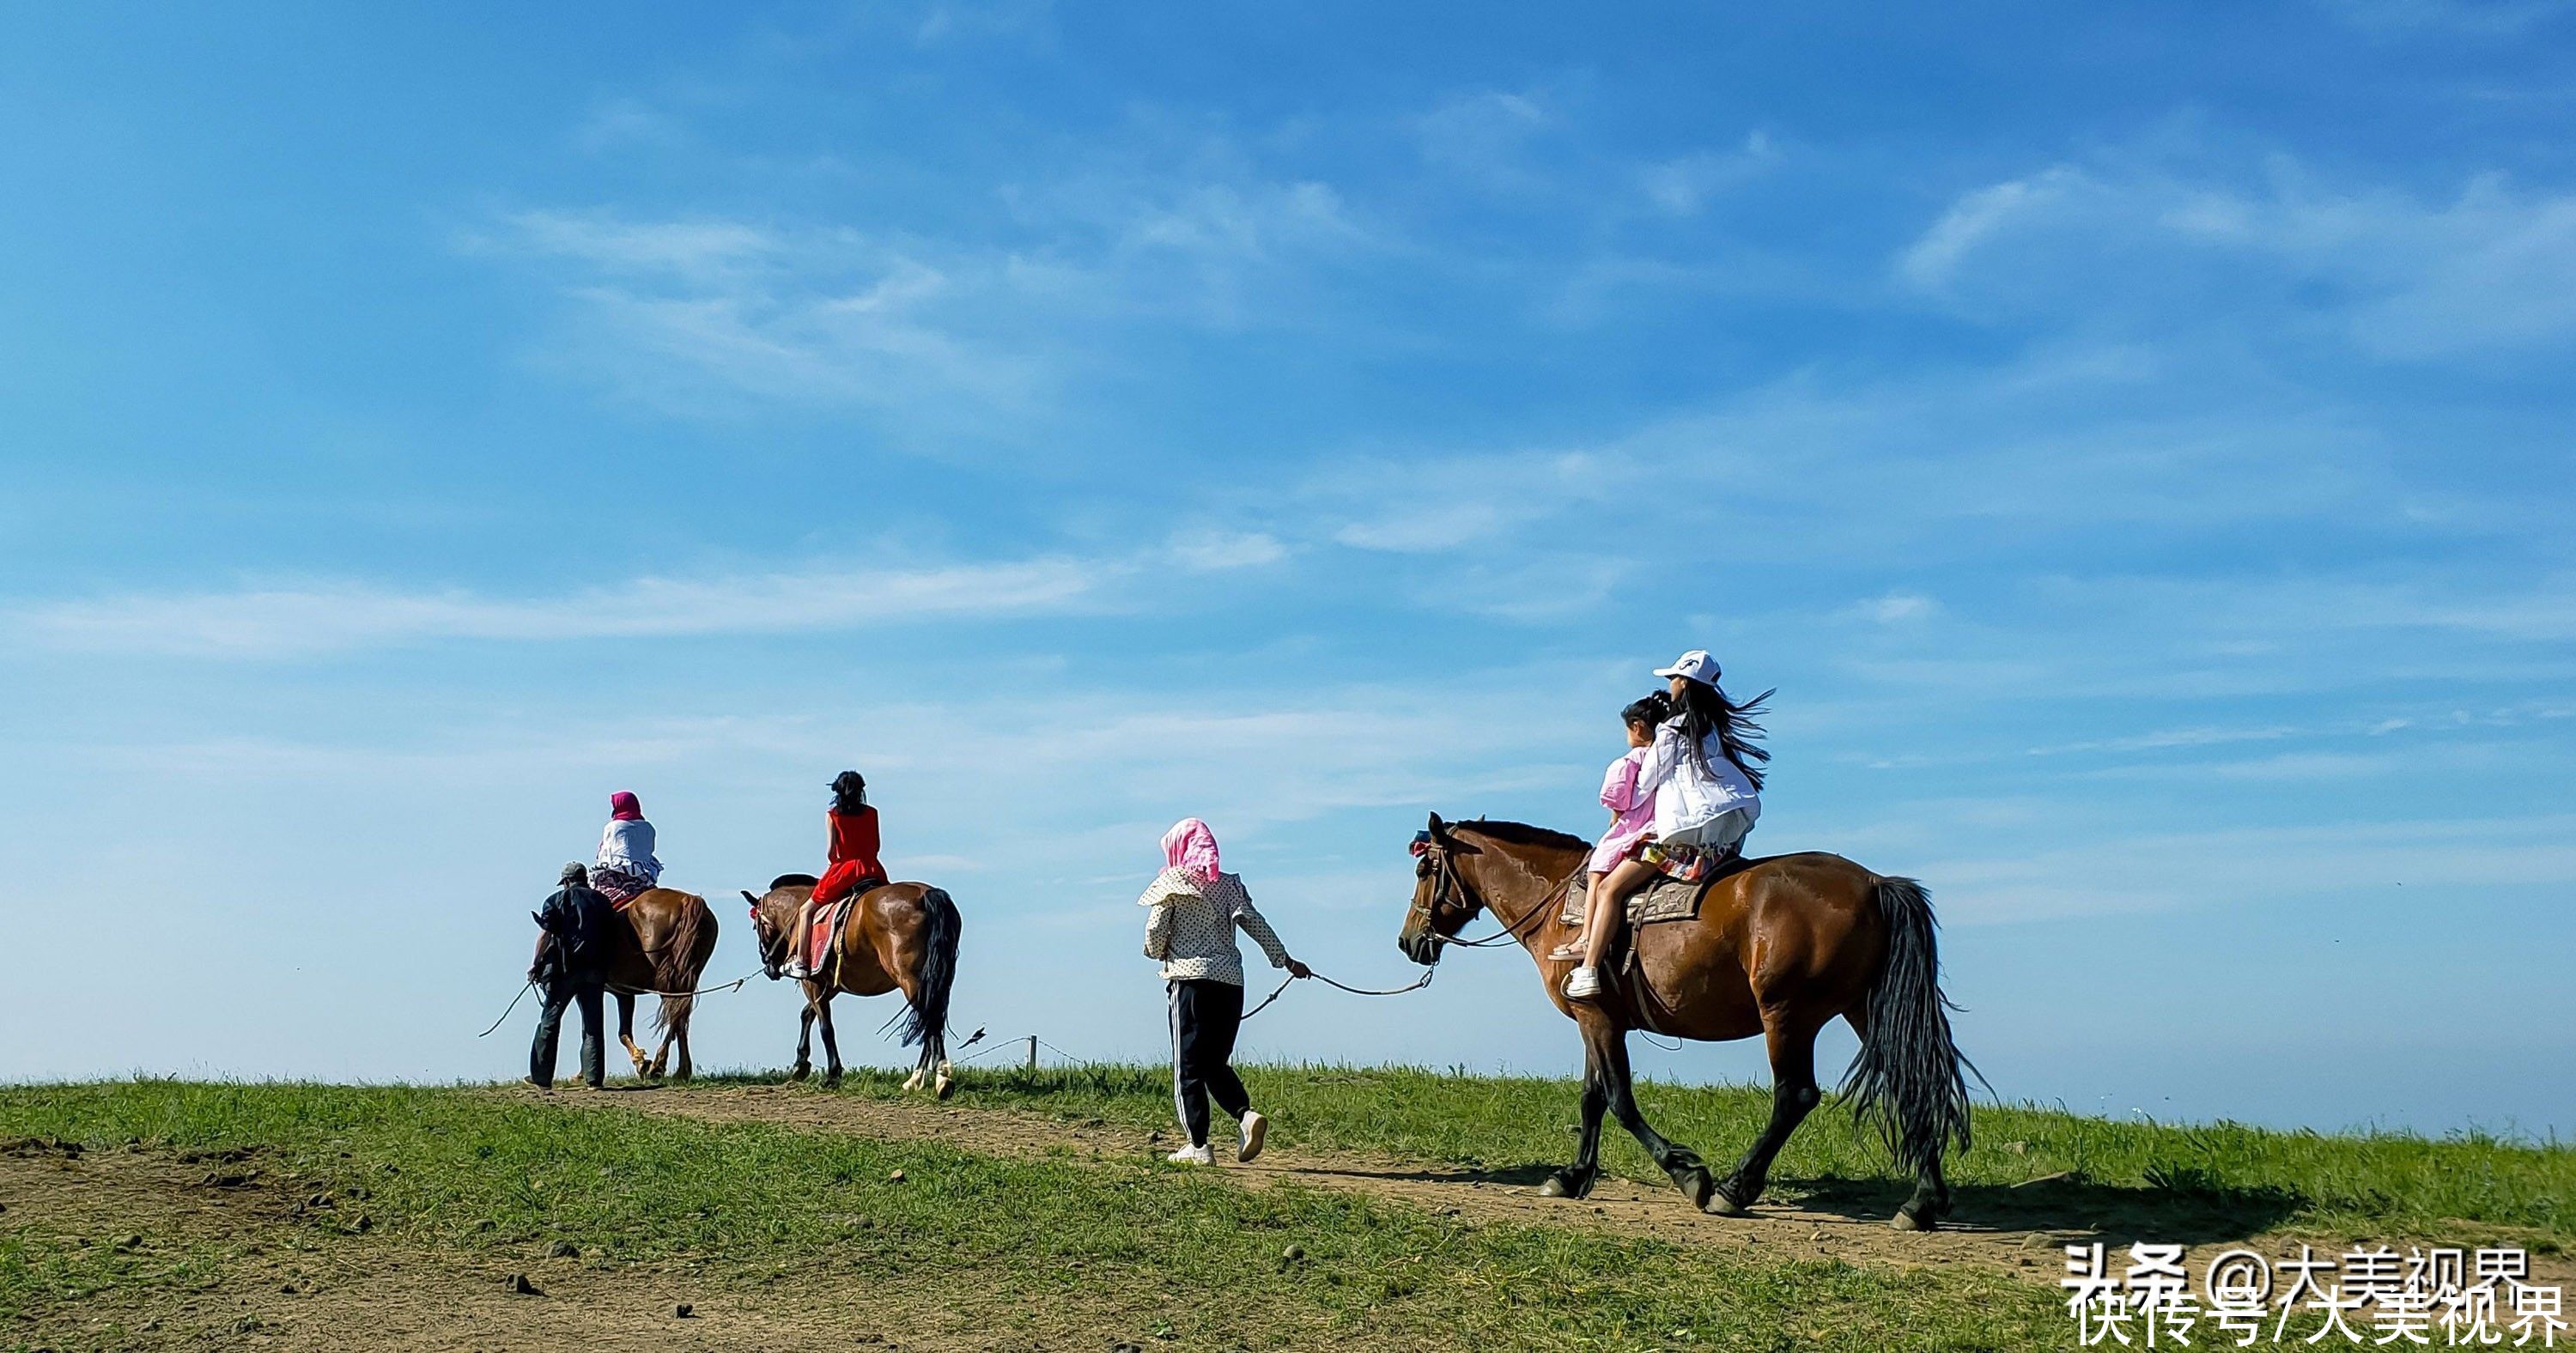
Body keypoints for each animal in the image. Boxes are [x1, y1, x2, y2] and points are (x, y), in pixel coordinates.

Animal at [595, 886, 721, 1077]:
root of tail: (687, 900)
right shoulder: (624, 993)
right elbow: (624, 1032)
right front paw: (640, 1059)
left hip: (666, 978)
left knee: (675, 1013)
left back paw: (659, 1065)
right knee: (680, 1016)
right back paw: (681, 1070)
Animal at [742, 871, 963, 1092]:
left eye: (757, 927)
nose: (769, 967)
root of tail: (926, 894)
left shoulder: (811, 982)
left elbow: (825, 1027)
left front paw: (832, 1074)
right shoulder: (830, 985)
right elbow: (807, 1014)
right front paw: (801, 1065)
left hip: (911, 979)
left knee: (930, 1018)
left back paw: (941, 1079)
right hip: (934, 980)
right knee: (931, 1019)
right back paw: (917, 1079)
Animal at [1391, 809, 1968, 1226]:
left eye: (1424, 869)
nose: (1409, 941)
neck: (1562, 908)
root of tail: (1875, 884)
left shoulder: (1598, 1020)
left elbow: (1620, 1100)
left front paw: (1688, 1174)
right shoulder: (1594, 1018)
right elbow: (1592, 1098)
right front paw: (1573, 1176)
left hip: (1787, 1014)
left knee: (1796, 1096)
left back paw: (1735, 1189)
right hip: (1862, 1009)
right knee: (1912, 1083)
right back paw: (1922, 1201)